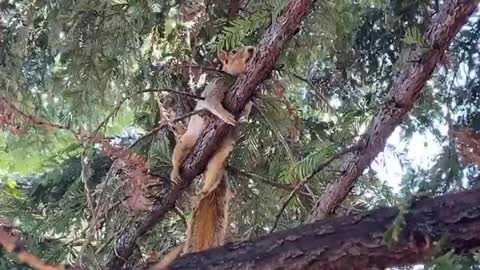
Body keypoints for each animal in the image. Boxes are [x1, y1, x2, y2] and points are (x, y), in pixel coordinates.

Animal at [153, 45, 256, 268]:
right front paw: (224, 115)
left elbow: (248, 107)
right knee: (180, 152)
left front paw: (243, 113)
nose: (252, 49)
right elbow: (212, 102)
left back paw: (205, 190)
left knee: (212, 177)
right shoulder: (215, 87)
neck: (234, 77)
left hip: (220, 156)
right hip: (189, 141)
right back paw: (175, 172)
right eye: (233, 51)